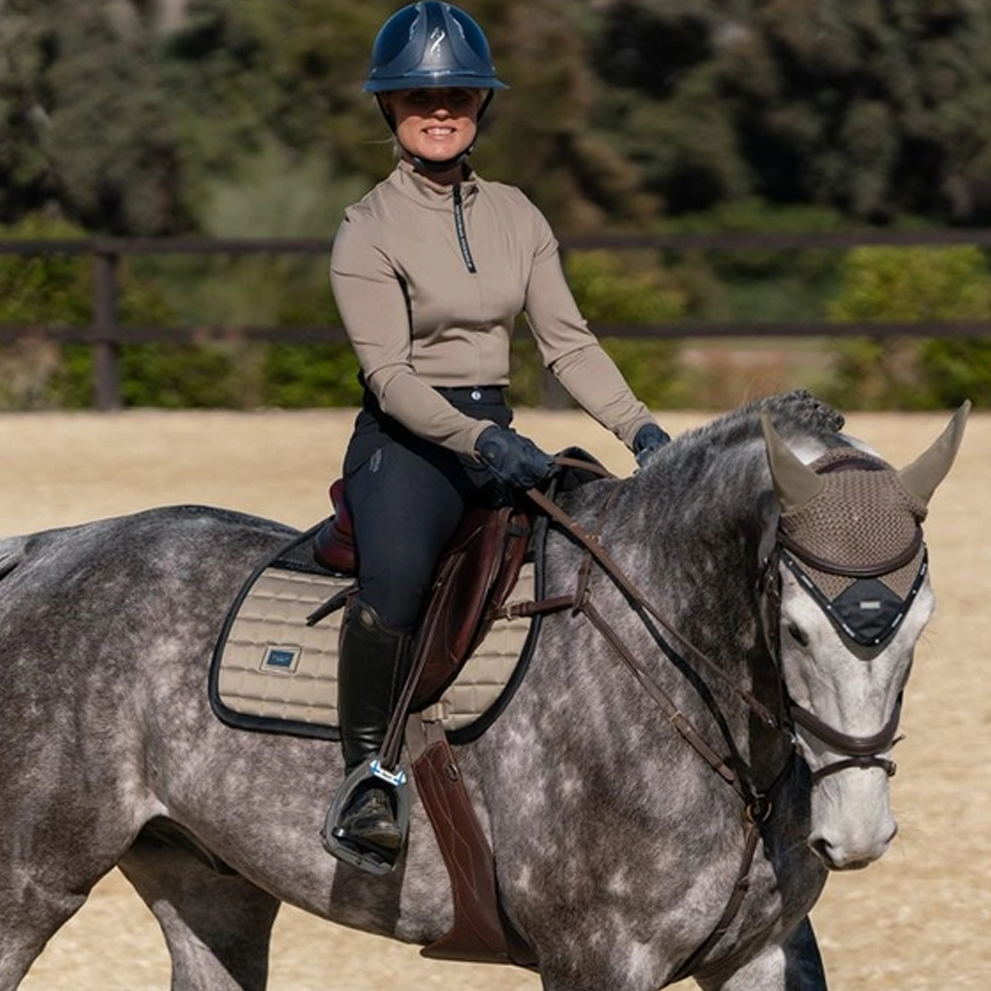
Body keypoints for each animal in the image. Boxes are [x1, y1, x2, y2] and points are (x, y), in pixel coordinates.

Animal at [0, 391, 966, 991]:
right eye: (797, 630)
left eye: (920, 625)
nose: (857, 832)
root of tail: (50, 548)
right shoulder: (597, 958)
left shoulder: (756, 955)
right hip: (32, 879)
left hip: (208, 879)